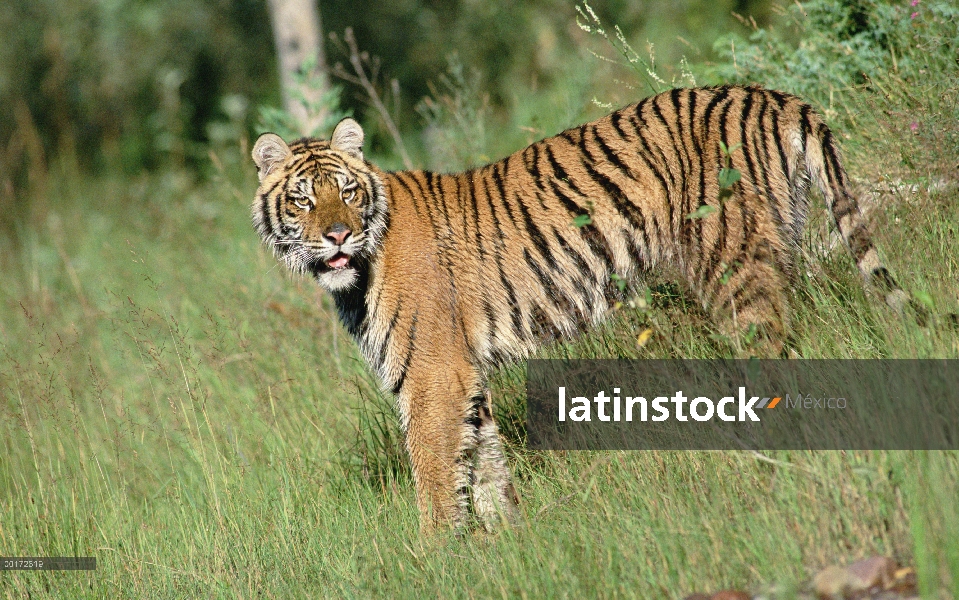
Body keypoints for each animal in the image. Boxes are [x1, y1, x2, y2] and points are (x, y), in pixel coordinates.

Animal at [248, 83, 908, 528]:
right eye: (304, 200)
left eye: (347, 191)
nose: (338, 234)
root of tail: (773, 96)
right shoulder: (467, 376)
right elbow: (486, 466)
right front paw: (506, 546)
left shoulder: (435, 377)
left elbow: (435, 476)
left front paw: (437, 557)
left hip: (734, 268)